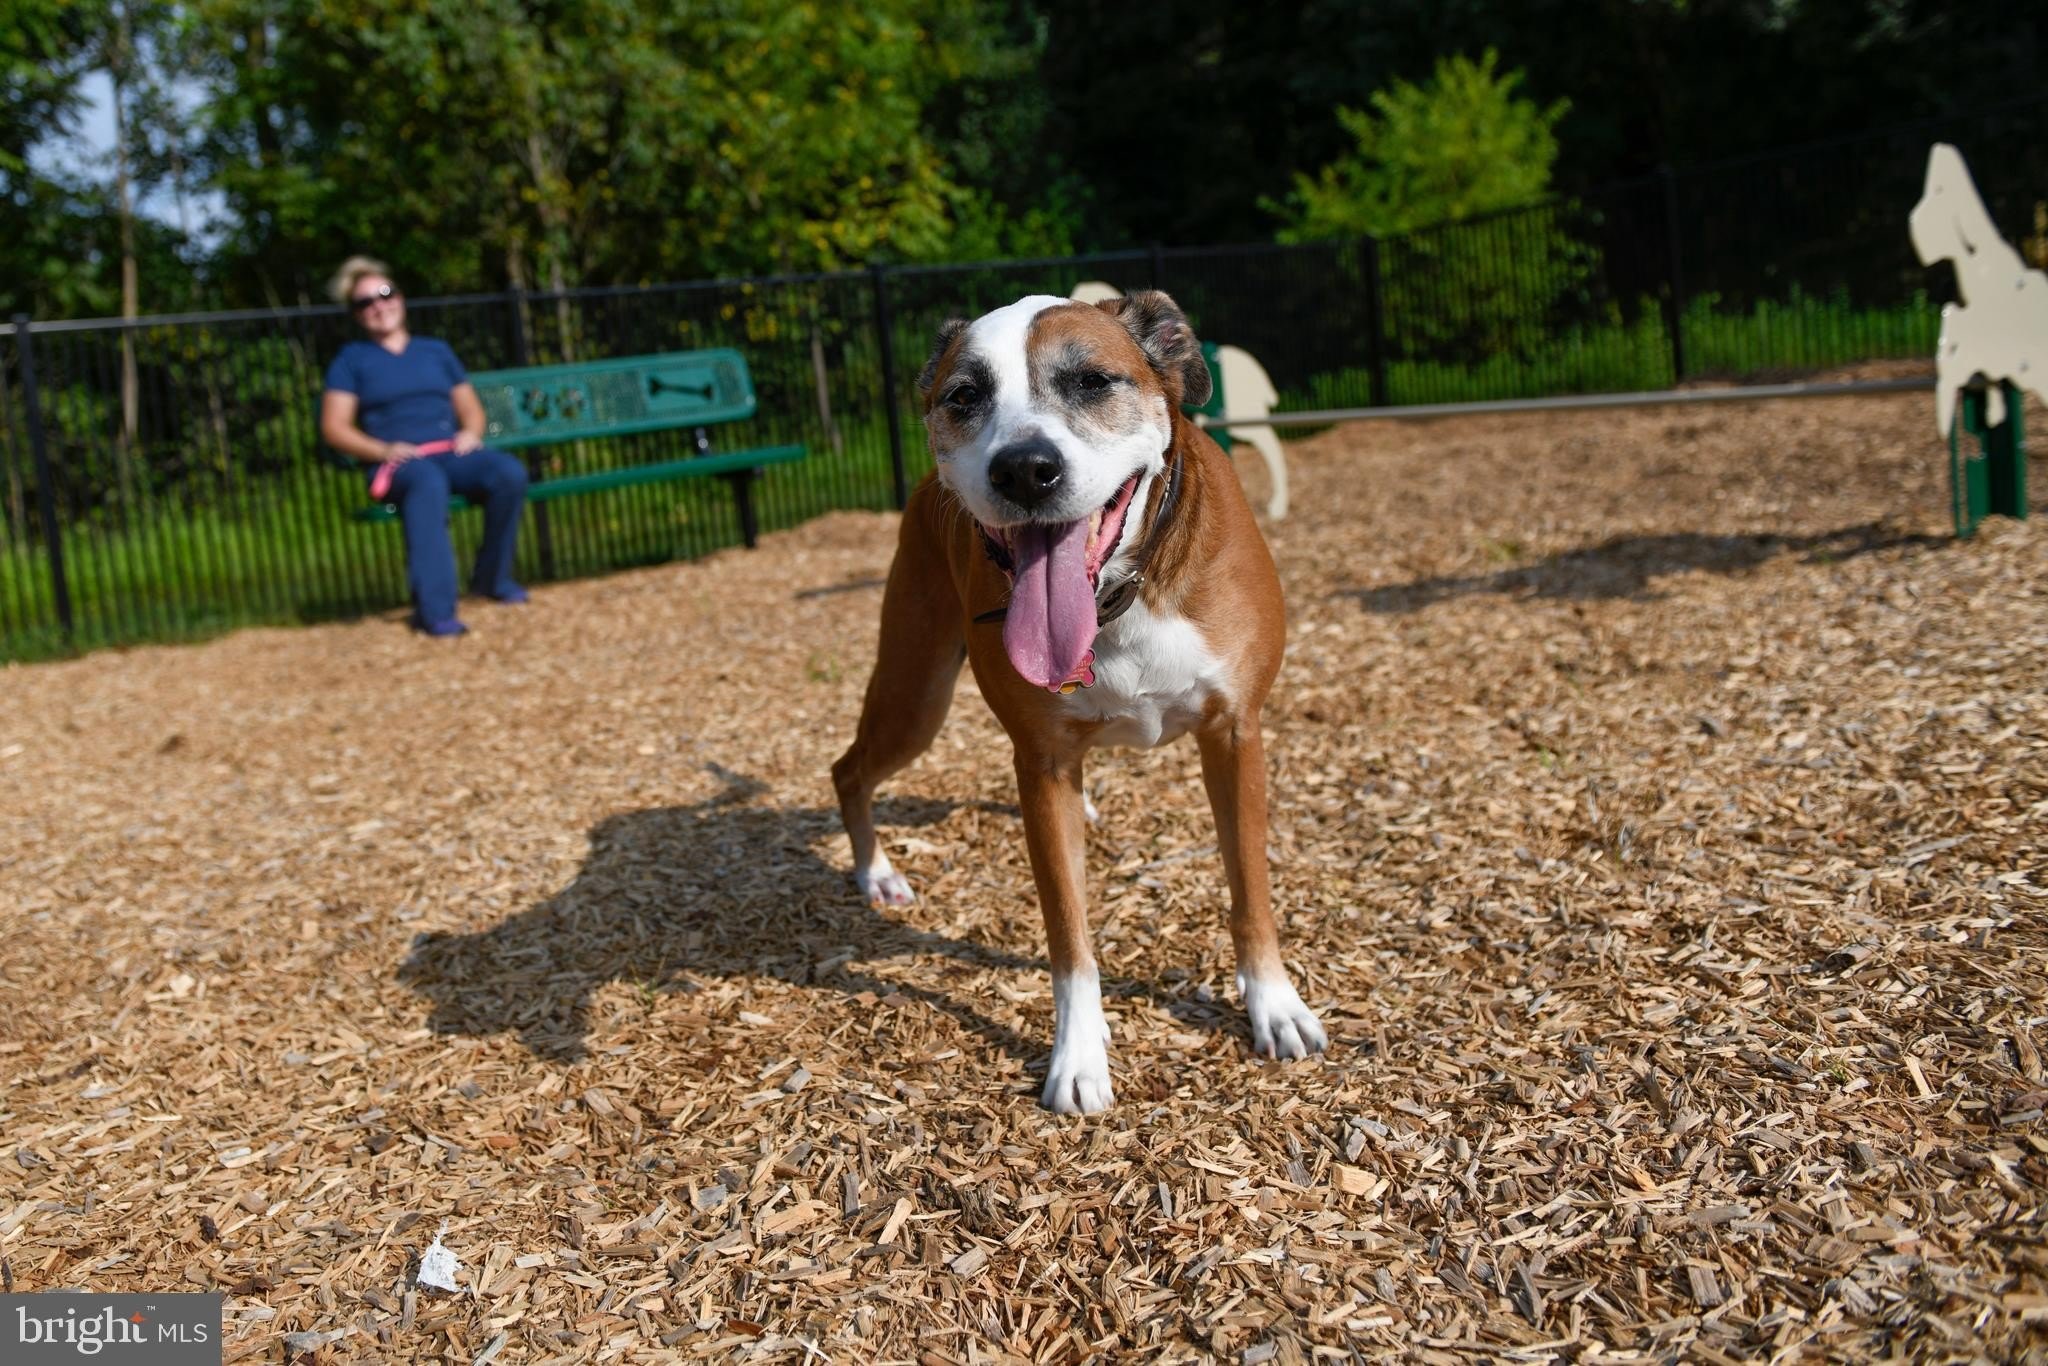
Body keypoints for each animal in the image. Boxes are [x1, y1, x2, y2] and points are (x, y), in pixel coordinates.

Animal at [832, 292, 1327, 1113]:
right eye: (964, 396)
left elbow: (1249, 886)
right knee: (849, 769)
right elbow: (1068, 930)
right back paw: (877, 875)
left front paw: (1275, 1005)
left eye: (1093, 381)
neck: (1119, 594)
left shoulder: (1236, 735)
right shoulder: (1043, 767)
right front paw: (1078, 1058)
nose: (1025, 468)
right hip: (915, 693)